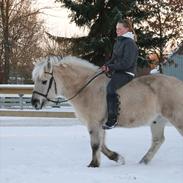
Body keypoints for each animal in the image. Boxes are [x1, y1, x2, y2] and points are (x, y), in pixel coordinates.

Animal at [31, 55, 183, 167]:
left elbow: (95, 144)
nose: (34, 102)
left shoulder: (93, 123)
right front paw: (118, 158)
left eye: (44, 81)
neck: (86, 88)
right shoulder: (100, 124)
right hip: (157, 120)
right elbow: (102, 145)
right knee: (158, 140)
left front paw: (93, 164)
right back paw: (143, 162)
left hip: (176, 118)